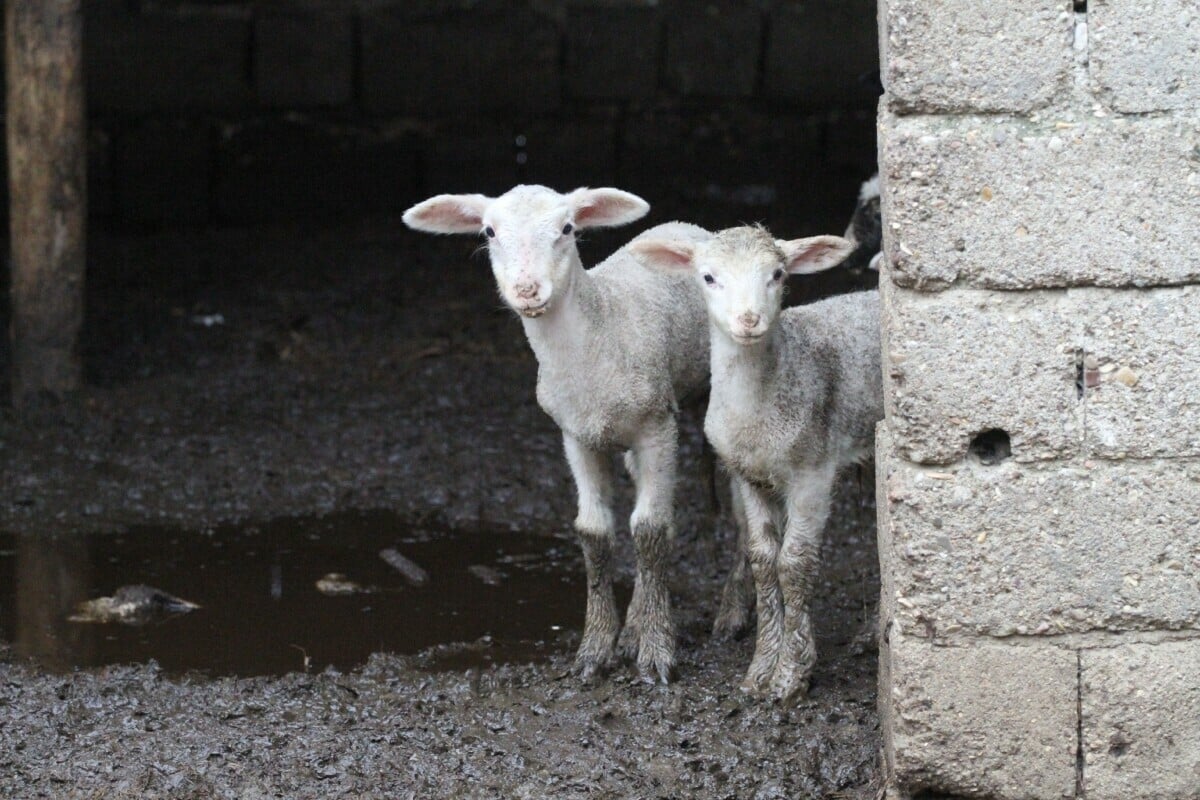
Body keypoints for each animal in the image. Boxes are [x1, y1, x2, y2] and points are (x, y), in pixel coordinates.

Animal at [402, 185, 752, 683]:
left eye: (567, 228)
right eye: (489, 232)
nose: (527, 289)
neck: (598, 330)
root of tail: (689, 227)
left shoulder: (657, 426)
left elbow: (651, 531)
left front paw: (657, 651)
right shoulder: (575, 435)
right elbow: (594, 533)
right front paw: (597, 648)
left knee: (738, 513)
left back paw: (731, 614)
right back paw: (633, 625)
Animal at [630, 225, 882, 702]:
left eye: (778, 274)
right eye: (708, 277)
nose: (748, 320)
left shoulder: (812, 472)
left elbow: (794, 564)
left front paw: (791, 676)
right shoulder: (749, 475)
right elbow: (763, 560)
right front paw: (760, 669)